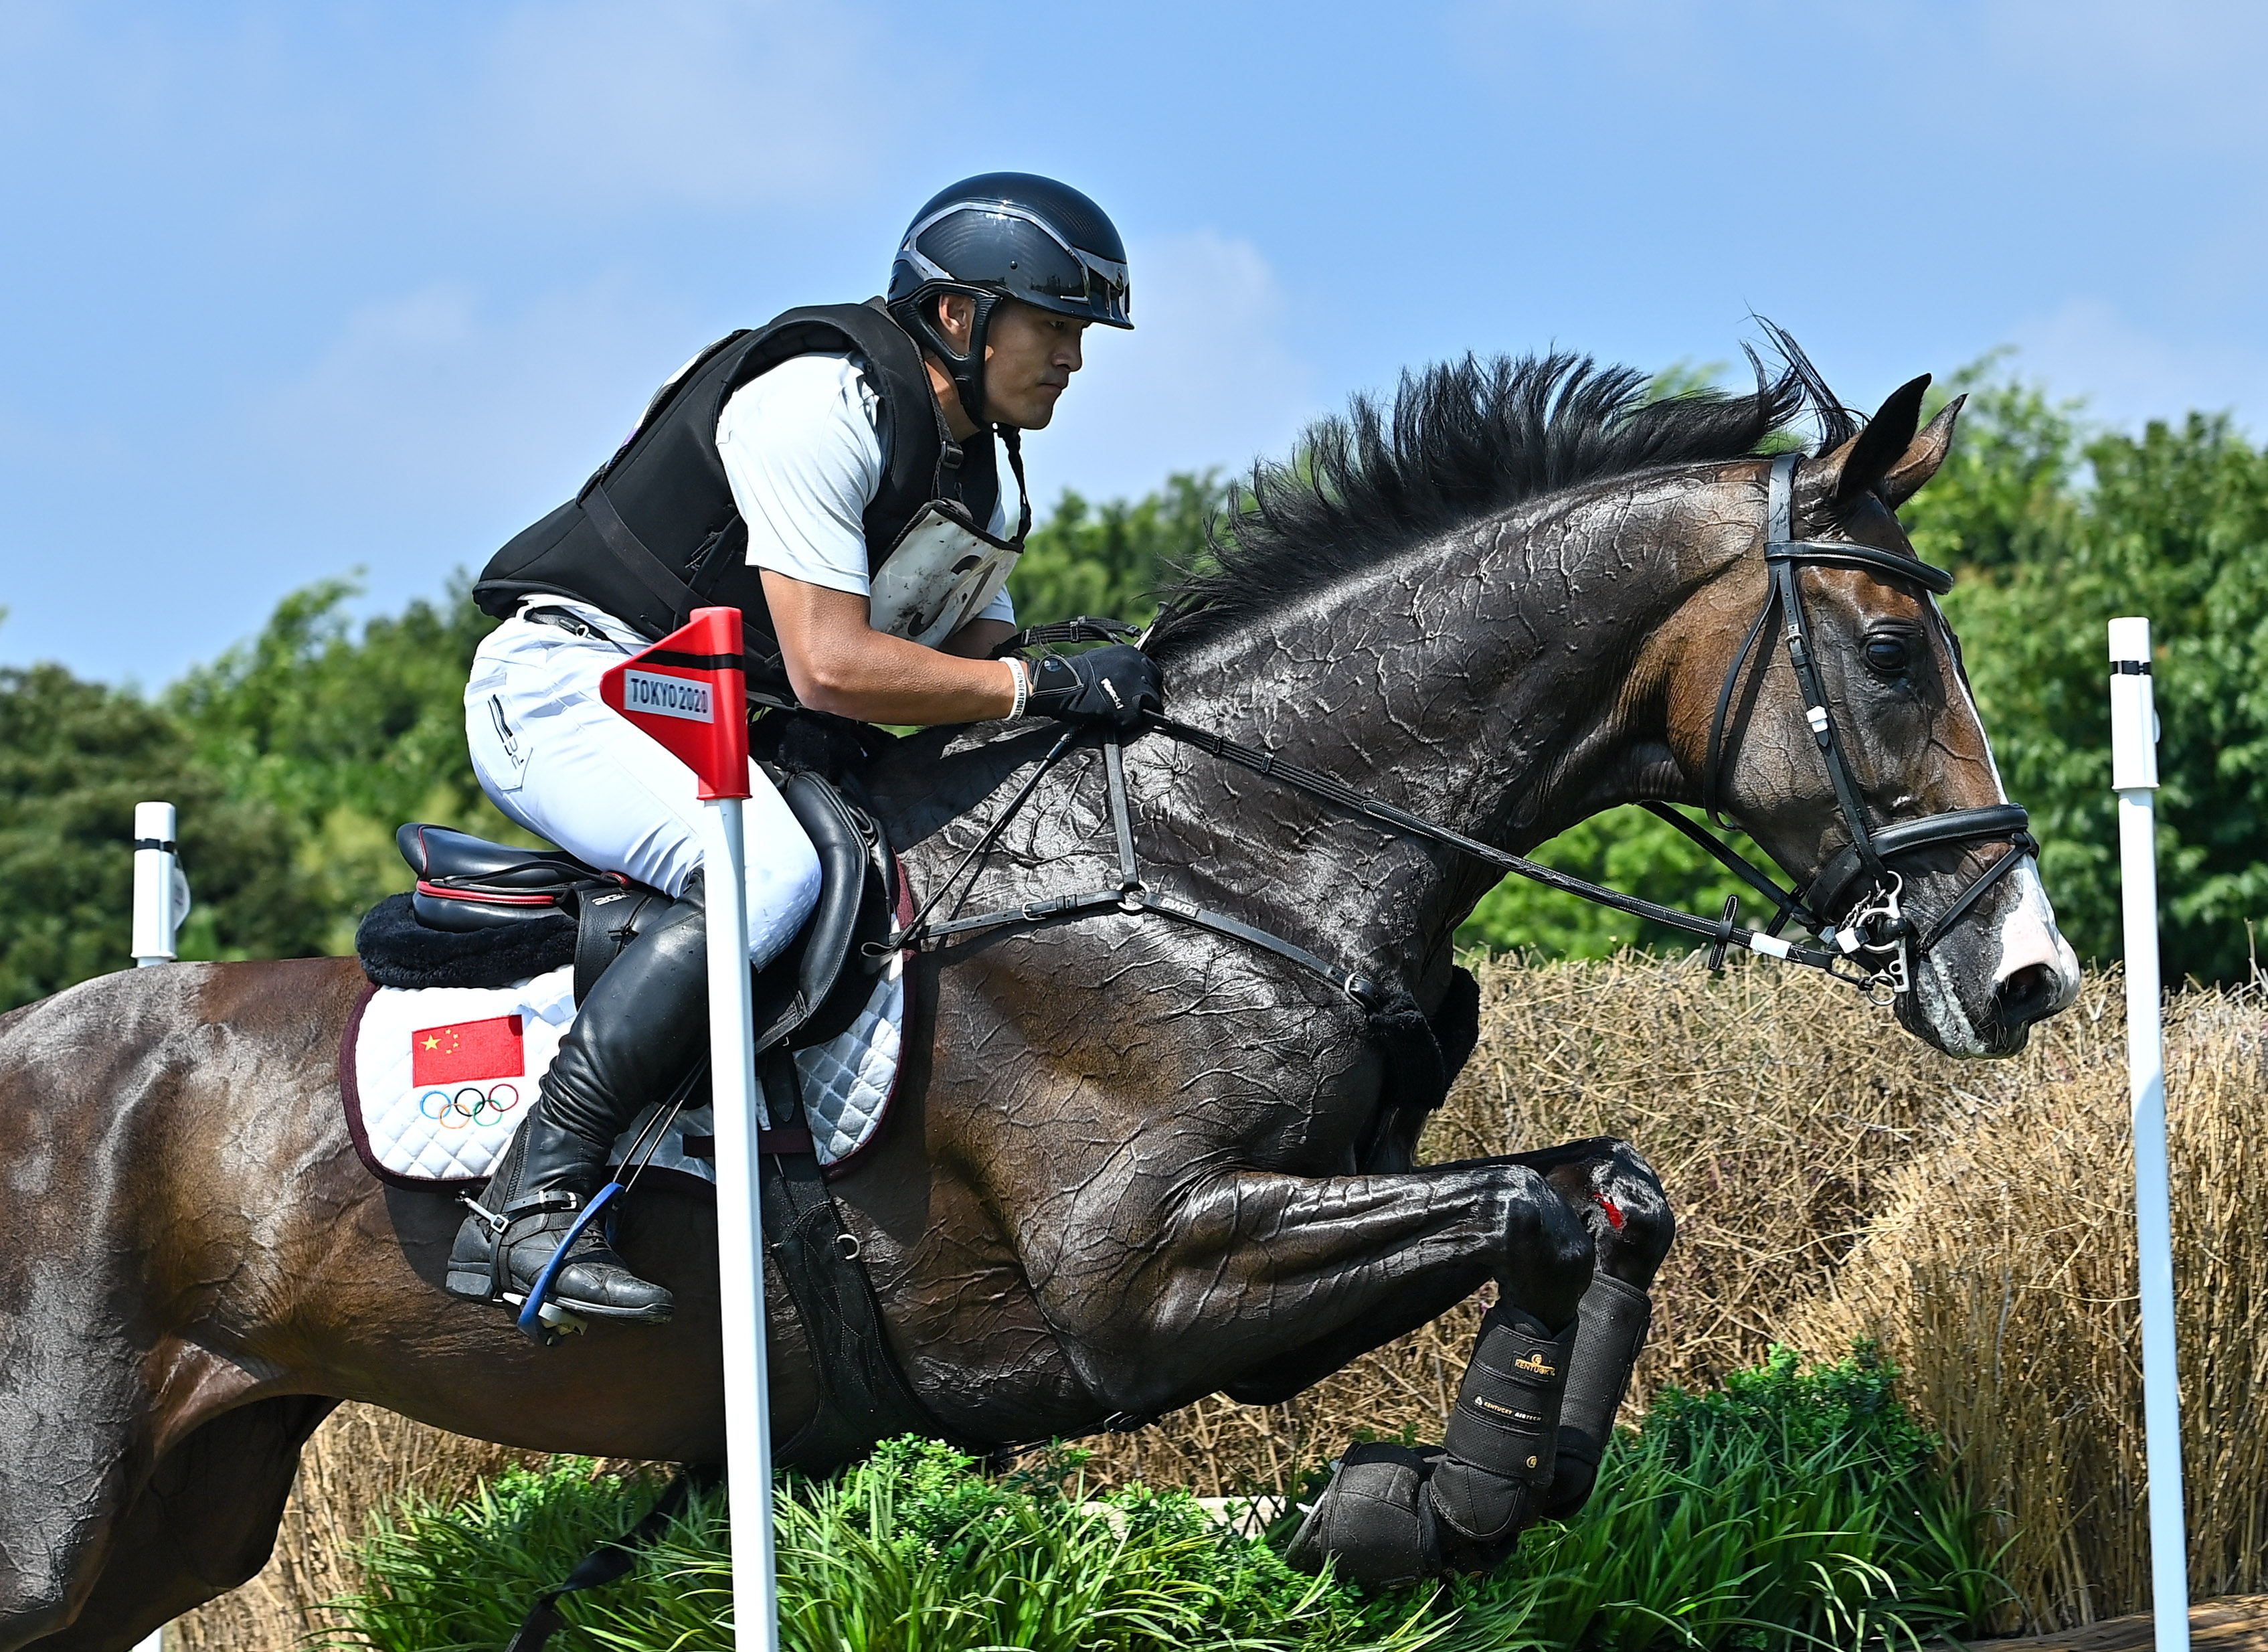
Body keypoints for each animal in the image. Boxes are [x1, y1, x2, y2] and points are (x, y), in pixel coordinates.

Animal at [0, 342, 2077, 1643]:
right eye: (1893, 656)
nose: (2029, 976)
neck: (1232, 852)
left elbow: (1601, 1194)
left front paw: (1441, 1498)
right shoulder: (1145, 1278)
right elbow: (1532, 1207)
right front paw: (1418, 1507)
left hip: (183, 1506)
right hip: (55, 1504)